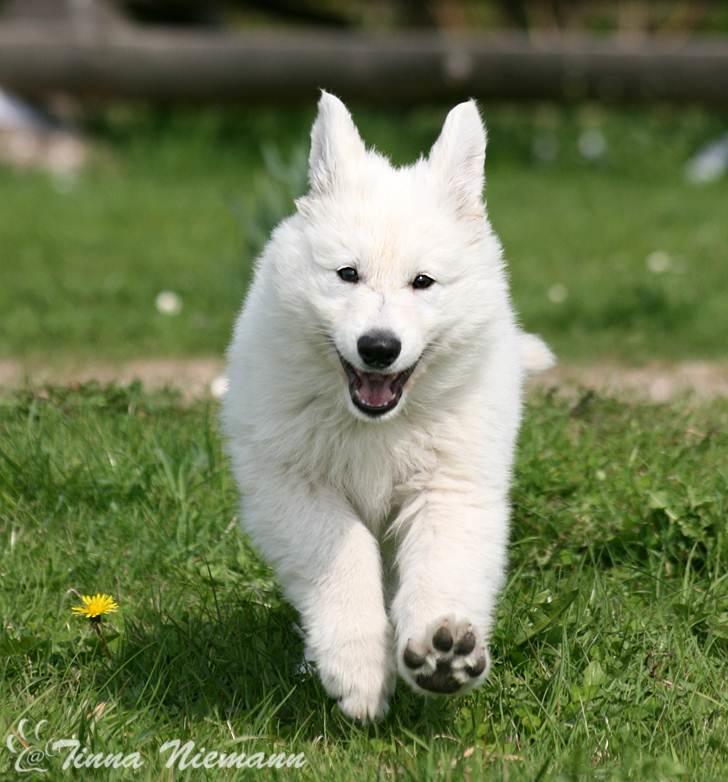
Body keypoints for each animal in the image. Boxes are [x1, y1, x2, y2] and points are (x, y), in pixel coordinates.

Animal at [222, 92, 552, 724]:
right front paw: (357, 668)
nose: (379, 348)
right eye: (347, 274)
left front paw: (442, 650)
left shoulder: (450, 487)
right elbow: (344, 556)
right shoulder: (294, 487)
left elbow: (442, 567)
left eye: (422, 282)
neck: (375, 425)